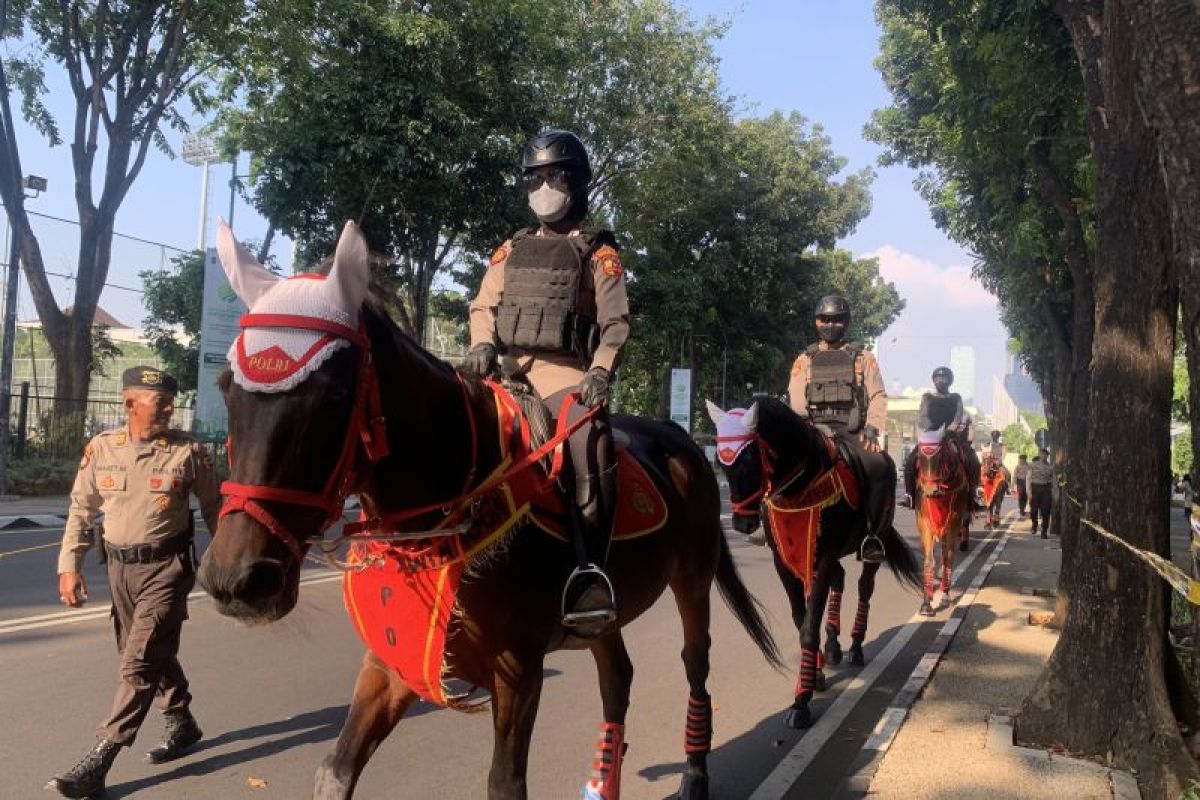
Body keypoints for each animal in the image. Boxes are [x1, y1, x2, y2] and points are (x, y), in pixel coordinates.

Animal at [194, 220, 777, 800]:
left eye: (334, 396)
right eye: (225, 388)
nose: (236, 579)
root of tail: (684, 445)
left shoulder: (518, 670)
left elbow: (505, 782)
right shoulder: (392, 658)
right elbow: (335, 770)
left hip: (692, 578)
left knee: (694, 661)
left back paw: (695, 773)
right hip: (605, 620)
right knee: (618, 678)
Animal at [700, 398, 916, 729]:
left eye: (748, 461)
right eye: (721, 464)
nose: (741, 524)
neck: (800, 483)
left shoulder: (821, 559)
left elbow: (808, 626)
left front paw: (802, 700)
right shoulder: (785, 563)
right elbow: (801, 618)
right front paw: (815, 673)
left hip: (872, 542)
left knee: (864, 587)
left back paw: (855, 647)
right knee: (840, 580)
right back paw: (834, 647)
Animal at [912, 429, 969, 618]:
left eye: (941, 455)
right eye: (919, 456)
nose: (930, 490)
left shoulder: (954, 521)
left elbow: (949, 557)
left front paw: (944, 595)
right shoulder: (923, 522)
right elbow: (929, 561)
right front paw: (926, 604)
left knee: (947, 554)